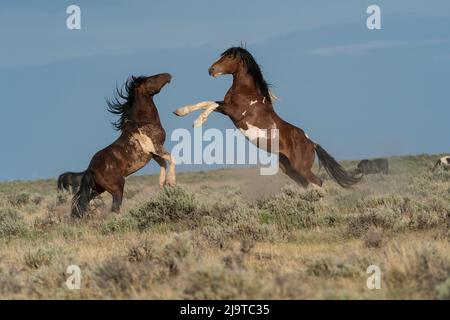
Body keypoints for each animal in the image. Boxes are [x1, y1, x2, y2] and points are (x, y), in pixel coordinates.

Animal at [71, 72, 174, 218]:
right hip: (117, 188)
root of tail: (90, 169)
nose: (168, 75)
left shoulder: (154, 154)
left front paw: (163, 184)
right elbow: (171, 159)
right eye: (150, 80)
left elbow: (164, 164)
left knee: (86, 202)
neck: (144, 122)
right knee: (114, 208)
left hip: (98, 189)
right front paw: (171, 181)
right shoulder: (156, 148)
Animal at [174, 46, 360, 189]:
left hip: (301, 168)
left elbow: (211, 104)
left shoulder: (234, 111)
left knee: (318, 182)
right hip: (289, 169)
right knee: (307, 184)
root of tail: (312, 143)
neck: (248, 92)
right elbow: (205, 102)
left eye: (229, 56)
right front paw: (180, 111)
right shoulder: (227, 108)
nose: (211, 70)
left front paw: (197, 122)